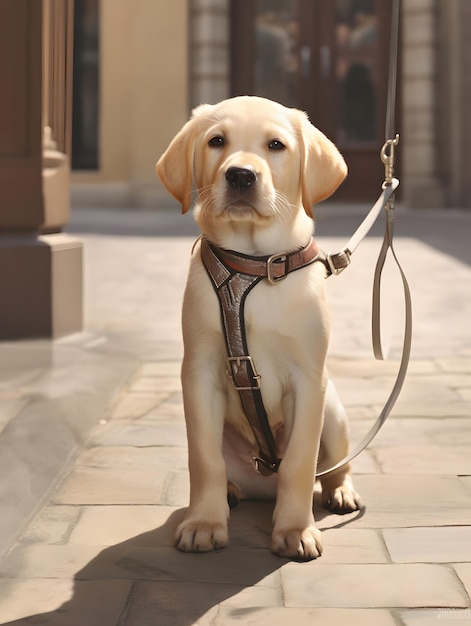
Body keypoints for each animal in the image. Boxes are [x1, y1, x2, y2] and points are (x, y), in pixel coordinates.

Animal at [158, 95, 362, 560]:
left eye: (276, 145)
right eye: (217, 141)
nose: (240, 174)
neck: (254, 264)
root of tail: (260, 479)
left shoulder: (308, 380)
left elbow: (301, 464)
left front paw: (295, 530)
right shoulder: (199, 373)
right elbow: (204, 461)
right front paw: (204, 523)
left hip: (333, 411)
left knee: (333, 466)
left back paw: (341, 492)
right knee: (223, 469)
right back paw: (229, 494)